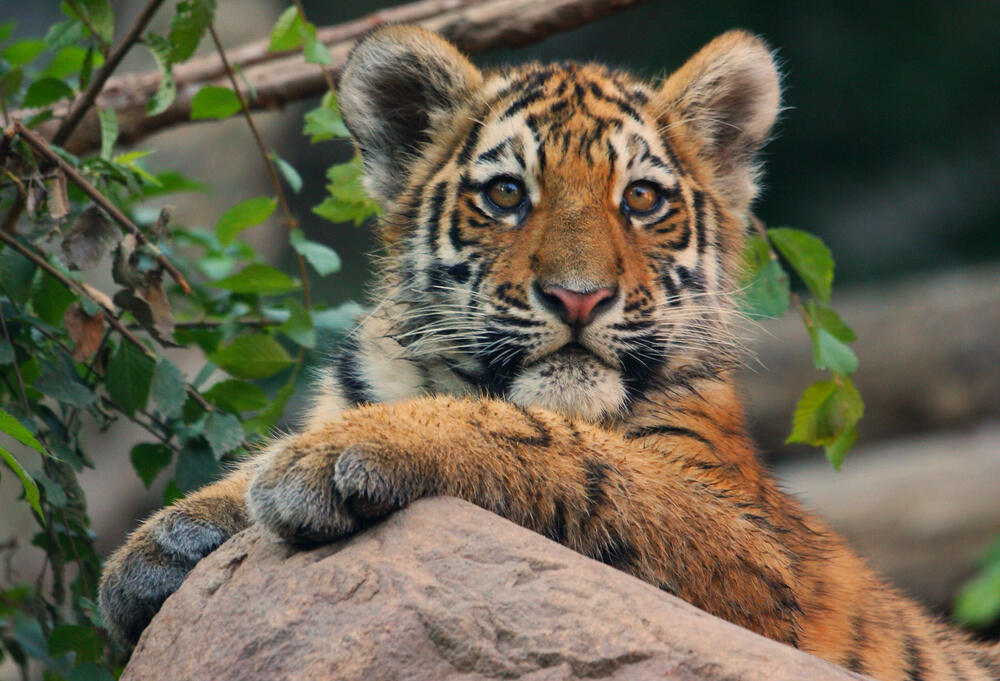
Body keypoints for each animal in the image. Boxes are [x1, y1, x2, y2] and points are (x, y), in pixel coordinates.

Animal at [99, 25, 1000, 680]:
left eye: (642, 199)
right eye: (506, 194)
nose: (578, 297)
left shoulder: (752, 546)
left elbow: (554, 441)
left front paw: (333, 457)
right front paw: (158, 546)